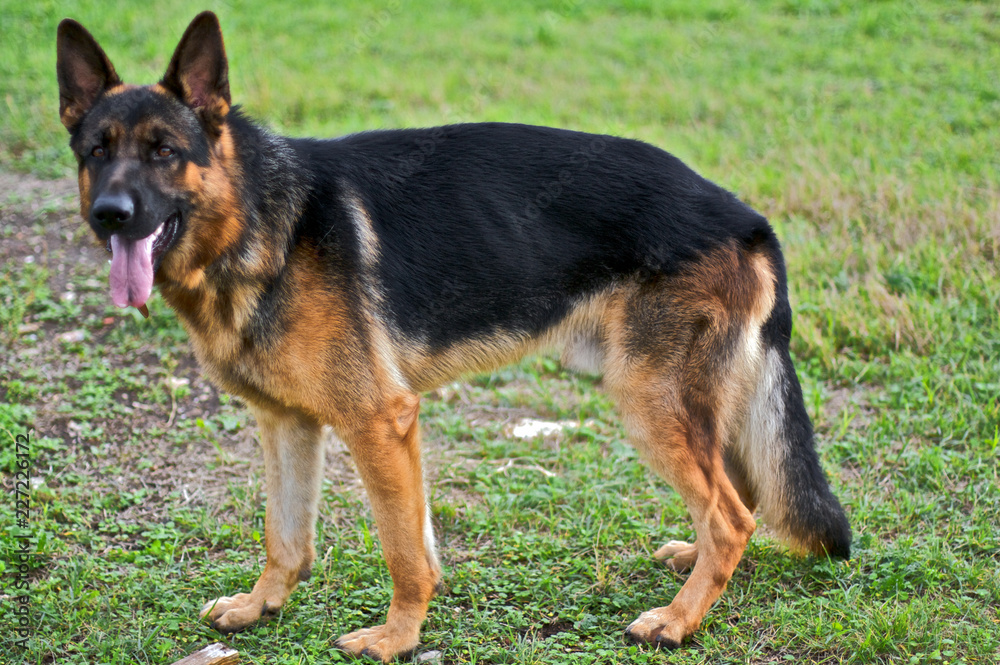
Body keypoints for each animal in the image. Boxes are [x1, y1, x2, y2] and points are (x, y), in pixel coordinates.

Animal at [56, 10, 852, 660]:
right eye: (96, 150)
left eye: (164, 151)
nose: (110, 215)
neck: (259, 217)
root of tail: (746, 216)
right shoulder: (287, 424)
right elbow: (286, 537)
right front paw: (262, 607)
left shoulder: (380, 421)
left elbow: (406, 551)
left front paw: (396, 638)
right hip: (685, 401)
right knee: (739, 492)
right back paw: (694, 570)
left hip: (650, 400)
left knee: (733, 514)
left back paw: (678, 621)